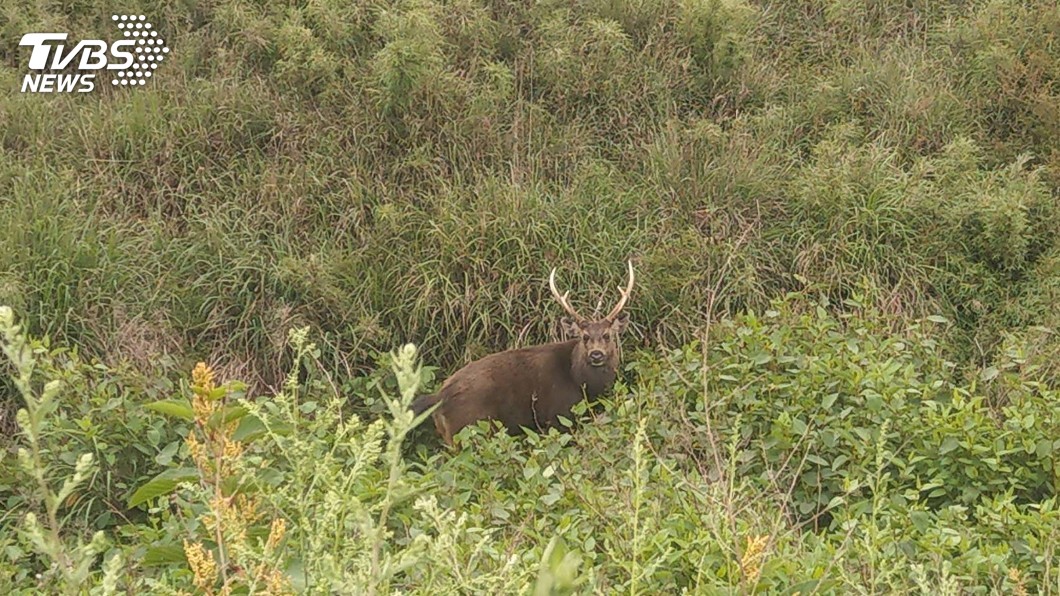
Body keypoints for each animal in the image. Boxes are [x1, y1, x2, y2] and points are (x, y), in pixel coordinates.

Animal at [411, 261, 635, 446]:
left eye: (607, 335)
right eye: (584, 337)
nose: (596, 355)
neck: (581, 383)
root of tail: (440, 396)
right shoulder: (559, 416)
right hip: (470, 428)